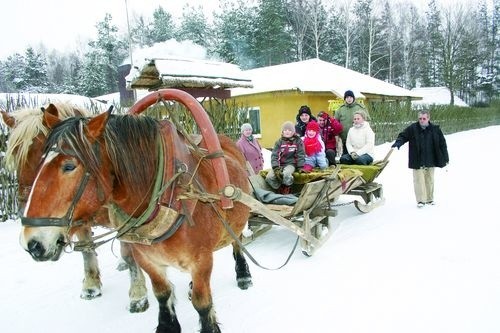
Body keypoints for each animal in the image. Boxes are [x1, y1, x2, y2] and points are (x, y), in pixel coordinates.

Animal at [0, 104, 148, 312]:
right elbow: (86, 249)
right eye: (13, 154)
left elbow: (130, 253)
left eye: (38, 151)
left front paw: (138, 295)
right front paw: (91, 286)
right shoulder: (76, 219)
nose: (22, 209)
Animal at [21, 107, 252, 330]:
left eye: (69, 166)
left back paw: (243, 274)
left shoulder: (201, 262)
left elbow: (202, 303)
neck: (169, 197)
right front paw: (166, 325)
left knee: (237, 241)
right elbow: (162, 294)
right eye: (39, 163)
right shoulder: (147, 259)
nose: (32, 243)